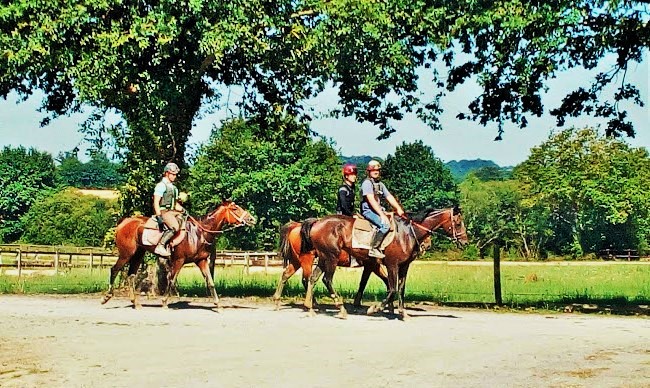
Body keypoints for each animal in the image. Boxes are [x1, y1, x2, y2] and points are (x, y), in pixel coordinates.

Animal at [100, 200, 253, 310]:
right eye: (235, 208)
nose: (252, 219)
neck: (199, 233)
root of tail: (124, 222)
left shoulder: (202, 261)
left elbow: (210, 282)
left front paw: (218, 304)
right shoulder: (179, 261)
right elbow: (172, 280)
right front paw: (164, 302)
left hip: (138, 254)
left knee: (131, 275)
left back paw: (136, 303)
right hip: (126, 254)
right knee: (114, 270)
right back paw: (107, 297)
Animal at [298, 208, 466, 320]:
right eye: (458, 223)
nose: (465, 242)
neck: (406, 233)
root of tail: (317, 222)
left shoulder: (403, 266)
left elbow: (399, 288)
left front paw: (402, 312)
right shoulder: (390, 264)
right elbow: (392, 288)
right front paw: (375, 308)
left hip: (323, 258)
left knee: (312, 279)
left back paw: (310, 307)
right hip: (331, 257)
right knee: (326, 280)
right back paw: (340, 308)